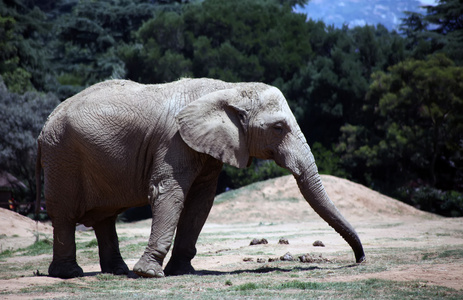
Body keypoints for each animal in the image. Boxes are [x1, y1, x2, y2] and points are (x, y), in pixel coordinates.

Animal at [36, 78, 366, 278]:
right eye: (278, 128)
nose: (360, 260)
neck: (229, 89)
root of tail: (46, 124)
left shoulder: (207, 147)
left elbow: (201, 201)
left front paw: (180, 271)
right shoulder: (173, 141)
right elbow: (169, 193)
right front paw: (149, 274)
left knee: (105, 217)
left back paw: (117, 271)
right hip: (61, 156)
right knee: (64, 214)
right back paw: (69, 274)